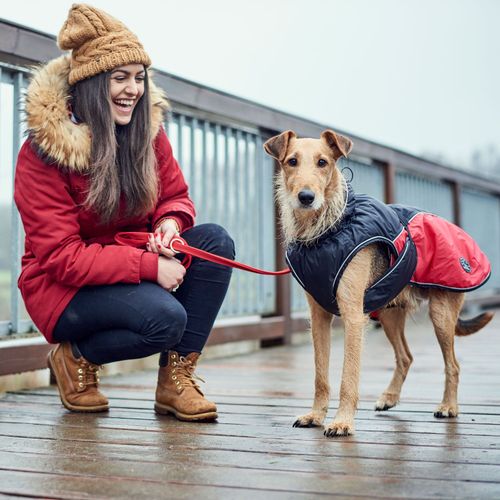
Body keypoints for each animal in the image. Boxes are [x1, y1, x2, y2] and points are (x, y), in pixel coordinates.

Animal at [264, 129, 494, 438]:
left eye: (323, 162)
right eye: (292, 161)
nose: (306, 197)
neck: (326, 231)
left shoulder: (352, 316)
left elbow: (348, 377)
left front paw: (342, 422)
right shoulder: (319, 317)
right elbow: (320, 375)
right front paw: (316, 416)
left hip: (440, 314)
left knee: (453, 364)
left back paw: (448, 406)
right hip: (388, 314)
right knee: (406, 357)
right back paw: (389, 398)